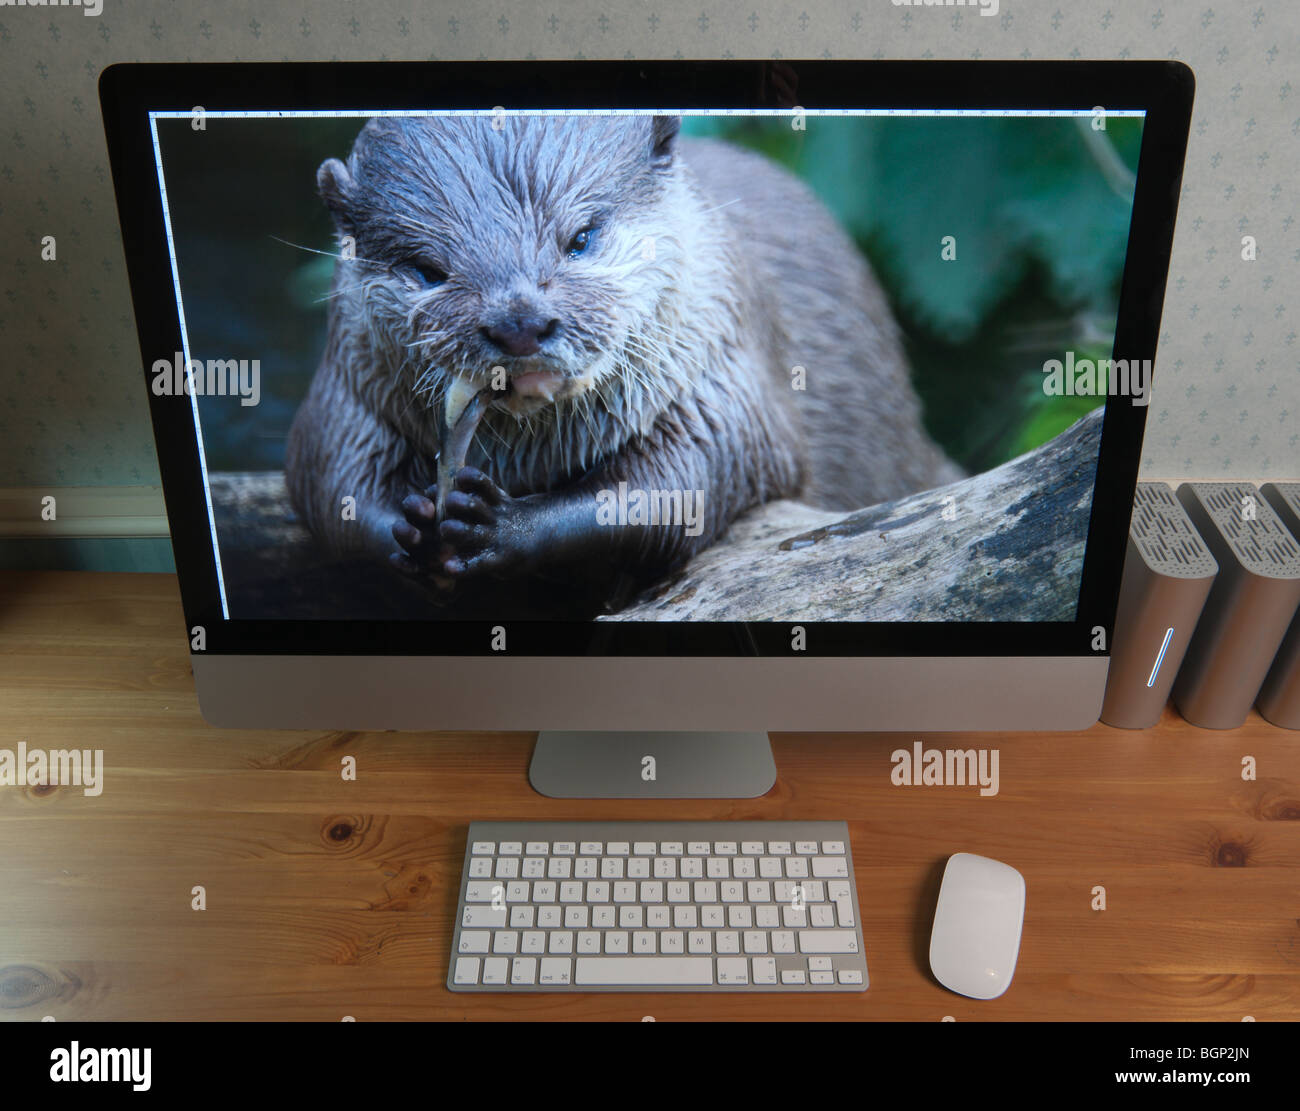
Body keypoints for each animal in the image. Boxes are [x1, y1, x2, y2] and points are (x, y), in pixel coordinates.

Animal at [285, 114, 961, 605]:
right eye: (428, 270)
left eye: (580, 238)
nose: (519, 322)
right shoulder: (346, 397)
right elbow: (328, 487)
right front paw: (415, 528)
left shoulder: (721, 386)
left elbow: (680, 482)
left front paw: (503, 526)